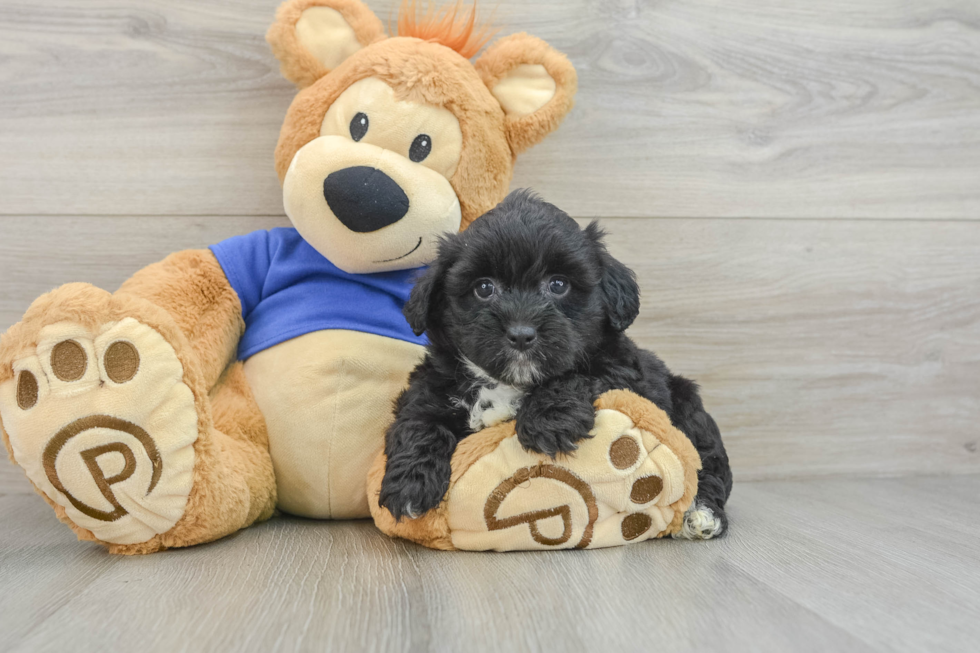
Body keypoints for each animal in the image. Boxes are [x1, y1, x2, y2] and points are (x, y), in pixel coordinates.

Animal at [378, 191, 732, 536]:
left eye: (558, 284)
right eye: (484, 288)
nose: (521, 334)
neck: (508, 384)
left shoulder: (621, 373)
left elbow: (577, 375)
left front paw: (548, 420)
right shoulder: (433, 384)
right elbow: (419, 421)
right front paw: (410, 483)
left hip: (688, 407)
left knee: (707, 465)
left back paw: (702, 515)